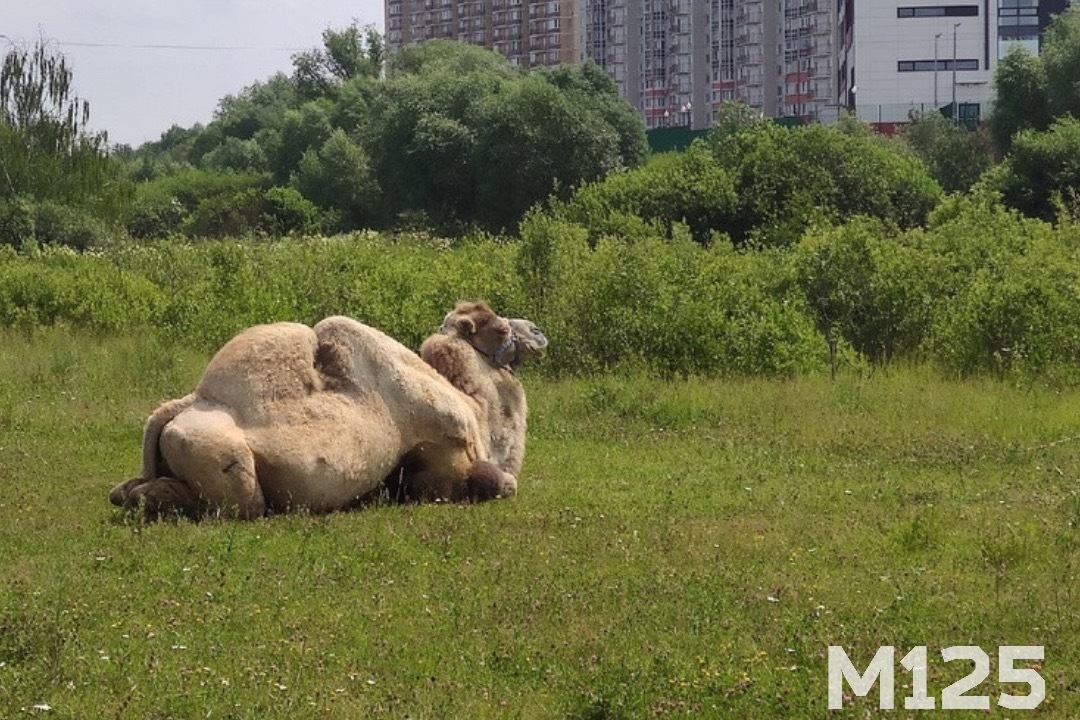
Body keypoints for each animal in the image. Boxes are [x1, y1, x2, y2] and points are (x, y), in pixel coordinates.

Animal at [108, 302, 544, 518]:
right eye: (499, 330)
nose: (538, 332)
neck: (475, 406)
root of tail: (184, 404)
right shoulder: (444, 449)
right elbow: (499, 482)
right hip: (221, 460)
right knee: (241, 504)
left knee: (124, 491)